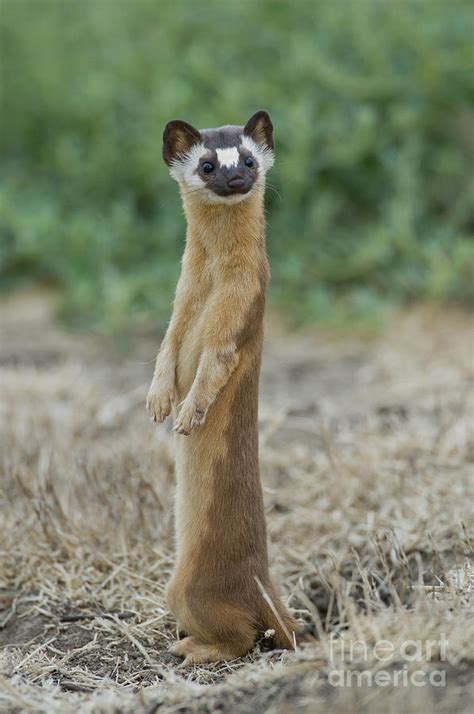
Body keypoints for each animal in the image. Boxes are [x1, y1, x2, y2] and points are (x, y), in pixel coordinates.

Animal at [147, 110, 296, 660]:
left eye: (249, 159)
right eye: (208, 163)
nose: (235, 179)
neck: (210, 284)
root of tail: (264, 581)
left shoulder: (240, 308)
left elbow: (214, 362)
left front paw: (190, 412)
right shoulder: (179, 301)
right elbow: (167, 348)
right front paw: (159, 399)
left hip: (185, 587)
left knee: (244, 634)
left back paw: (192, 646)